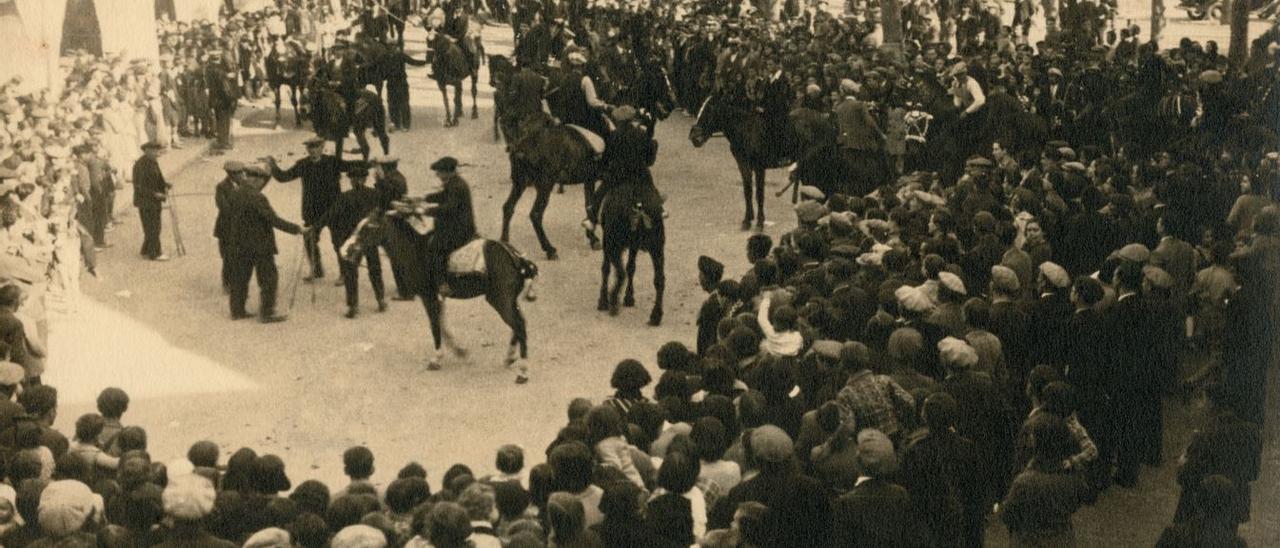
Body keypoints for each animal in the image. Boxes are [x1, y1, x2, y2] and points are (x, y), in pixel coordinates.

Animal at [343, 207, 537, 384]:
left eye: (368, 228)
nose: (345, 250)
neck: (416, 250)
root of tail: (516, 258)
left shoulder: (428, 296)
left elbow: (435, 326)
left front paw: (436, 359)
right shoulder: (438, 298)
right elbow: (443, 326)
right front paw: (460, 351)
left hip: (500, 300)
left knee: (519, 325)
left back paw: (523, 372)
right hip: (509, 301)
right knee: (520, 323)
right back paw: (510, 357)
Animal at [593, 184, 665, 325]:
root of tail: (639, 208)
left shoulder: (608, 242)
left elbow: (606, 268)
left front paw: (603, 300)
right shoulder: (634, 246)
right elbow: (631, 267)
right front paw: (629, 297)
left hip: (613, 243)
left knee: (620, 273)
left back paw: (612, 302)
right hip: (657, 247)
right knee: (659, 279)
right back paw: (656, 316)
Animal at [686, 91, 793, 231]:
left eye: (710, 108)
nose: (694, 137)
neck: (747, 131)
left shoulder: (759, 167)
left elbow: (759, 193)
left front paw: (760, 222)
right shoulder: (742, 164)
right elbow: (747, 190)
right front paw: (747, 220)